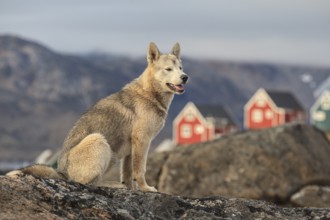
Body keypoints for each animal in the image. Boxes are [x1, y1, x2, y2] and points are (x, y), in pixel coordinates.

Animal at [6, 42, 188, 192]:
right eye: (168, 69)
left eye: (180, 68)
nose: (185, 77)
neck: (149, 94)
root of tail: (62, 173)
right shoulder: (142, 140)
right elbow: (140, 170)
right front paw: (145, 188)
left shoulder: (131, 147)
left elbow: (128, 174)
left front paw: (133, 189)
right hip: (98, 139)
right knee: (87, 183)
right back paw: (113, 185)